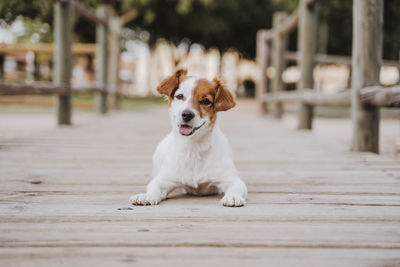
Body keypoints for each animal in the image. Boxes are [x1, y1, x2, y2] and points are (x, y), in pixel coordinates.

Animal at [130, 69, 247, 207]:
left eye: (205, 101)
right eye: (180, 96)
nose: (187, 114)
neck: (193, 147)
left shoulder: (233, 180)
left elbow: (236, 187)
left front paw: (233, 196)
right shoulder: (164, 179)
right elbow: (154, 186)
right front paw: (146, 196)